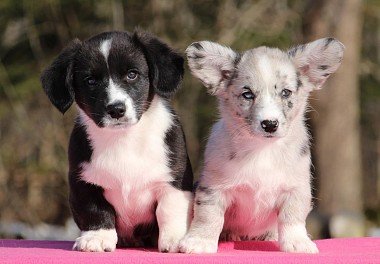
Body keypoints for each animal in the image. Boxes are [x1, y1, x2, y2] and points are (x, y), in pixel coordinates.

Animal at [42, 31, 193, 254]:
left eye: (132, 74)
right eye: (90, 81)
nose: (116, 109)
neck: (124, 138)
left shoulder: (174, 180)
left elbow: (170, 209)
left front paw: (176, 239)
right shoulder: (84, 182)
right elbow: (94, 209)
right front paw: (96, 237)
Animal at [180, 37, 342, 254]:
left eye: (286, 92)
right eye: (247, 94)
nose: (270, 124)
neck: (262, 149)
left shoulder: (296, 188)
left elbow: (292, 217)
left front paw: (298, 243)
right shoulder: (214, 187)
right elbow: (208, 215)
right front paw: (199, 241)